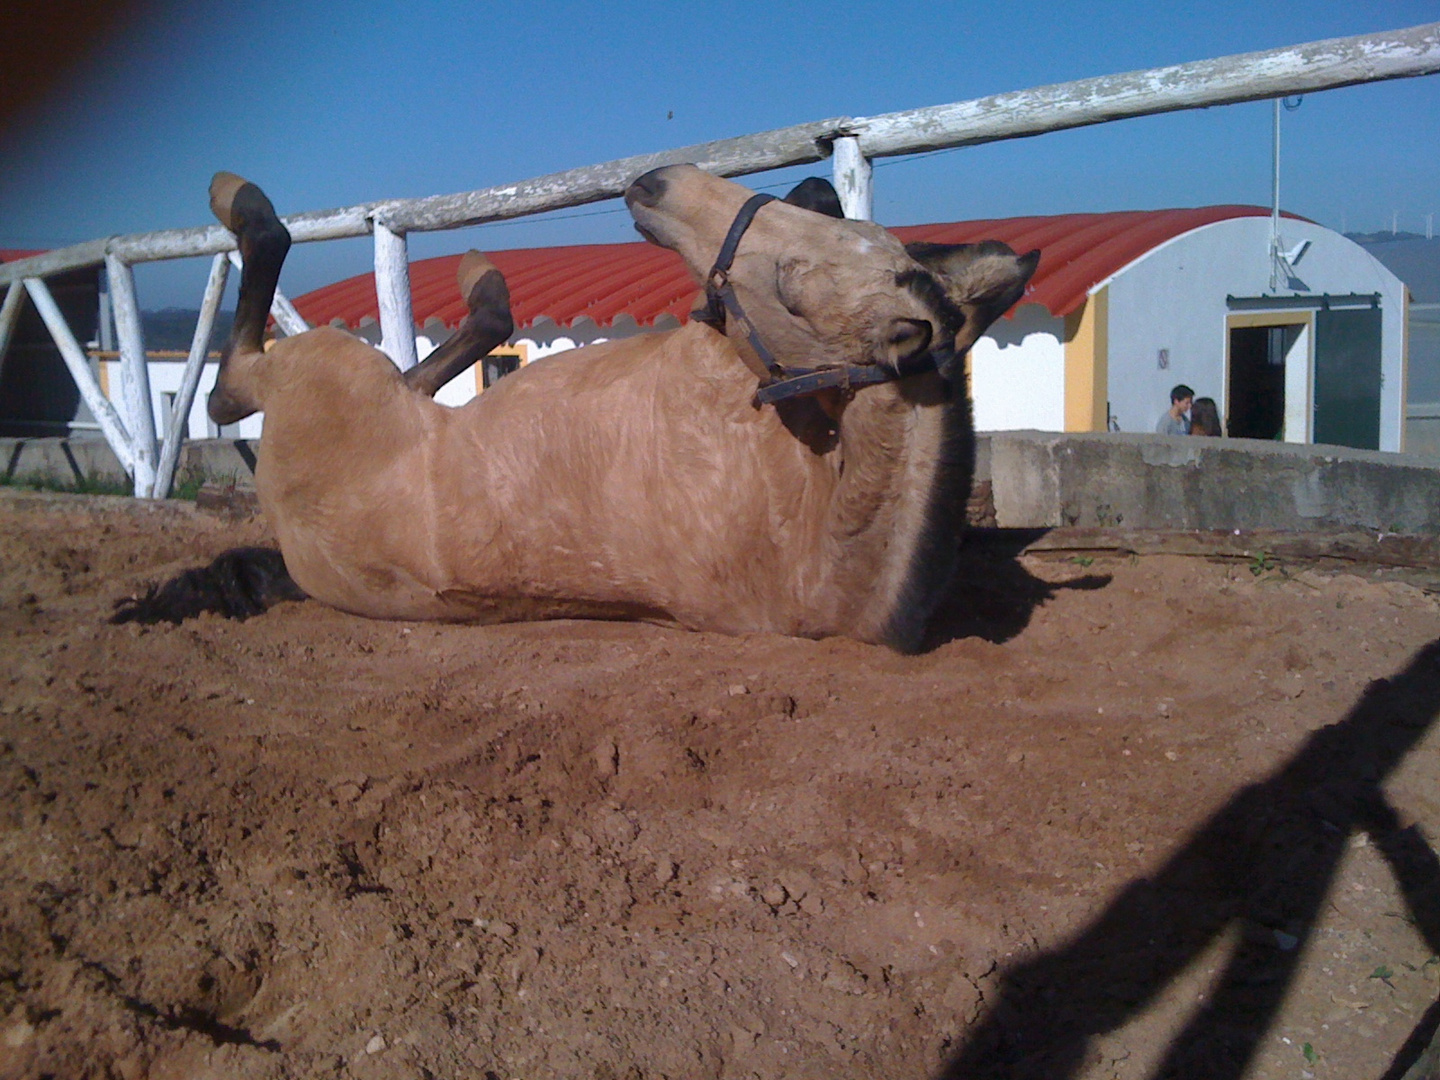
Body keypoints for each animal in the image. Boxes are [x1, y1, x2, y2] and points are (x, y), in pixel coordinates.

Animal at [115, 162, 1036, 650]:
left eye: (793, 289)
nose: (659, 183)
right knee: (447, 353)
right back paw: (479, 273)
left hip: (319, 375)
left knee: (232, 376)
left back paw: (240, 197)